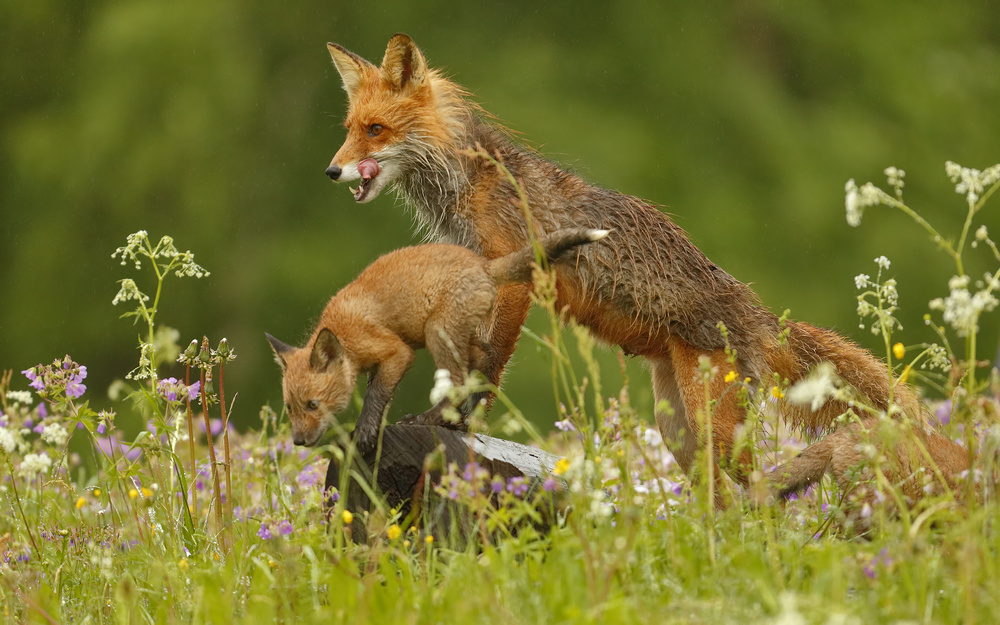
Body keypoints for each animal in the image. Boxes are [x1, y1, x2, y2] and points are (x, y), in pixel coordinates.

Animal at [266, 227, 604, 450]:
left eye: (312, 405)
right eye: (289, 408)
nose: (298, 442)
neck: (345, 331)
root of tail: (484, 265)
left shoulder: (397, 352)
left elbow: (376, 397)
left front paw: (365, 432)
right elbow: (380, 395)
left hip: (436, 332)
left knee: (458, 382)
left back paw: (429, 419)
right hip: (460, 337)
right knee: (483, 363)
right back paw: (465, 418)